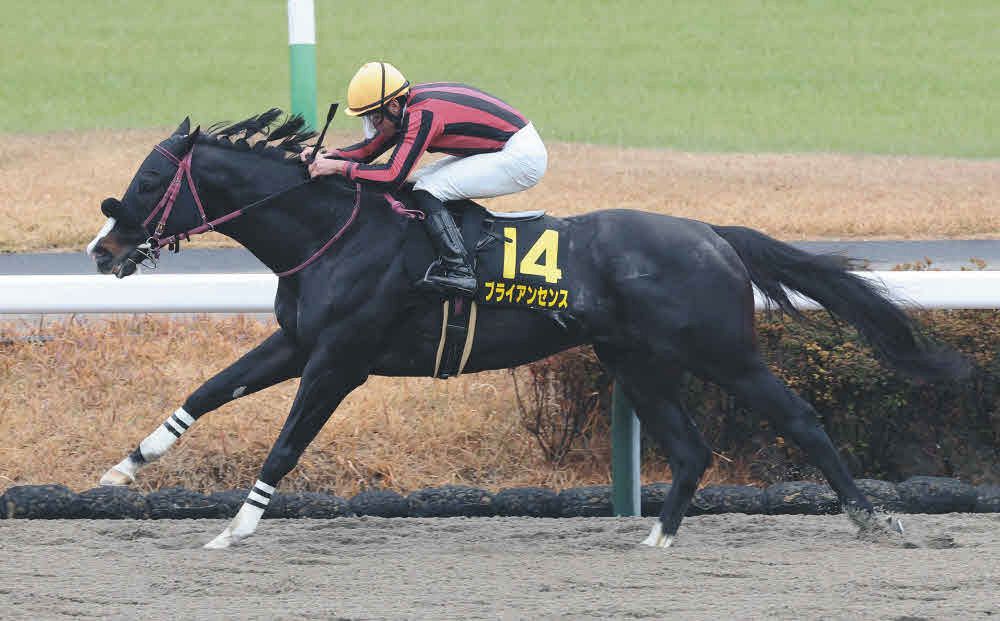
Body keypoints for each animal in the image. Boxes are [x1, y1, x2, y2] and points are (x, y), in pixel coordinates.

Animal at [88, 110, 968, 550]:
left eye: (152, 178)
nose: (103, 249)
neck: (333, 230)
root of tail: (712, 233)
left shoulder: (339, 358)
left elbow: (287, 441)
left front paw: (235, 527)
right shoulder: (299, 342)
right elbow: (206, 391)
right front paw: (121, 469)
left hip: (723, 352)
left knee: (801, 421)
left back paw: (873, 518)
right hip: (635, 360)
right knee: (691, 448)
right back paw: (657, 539)